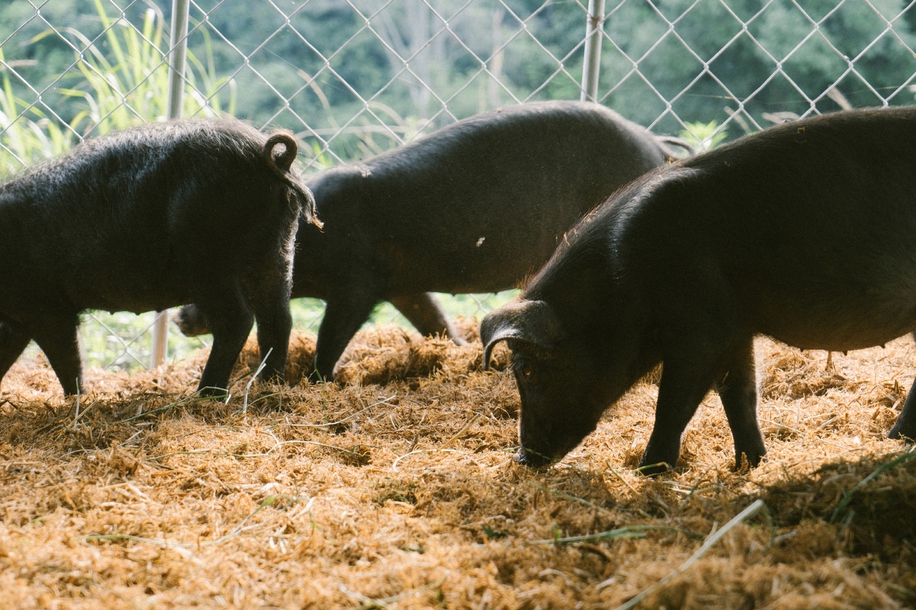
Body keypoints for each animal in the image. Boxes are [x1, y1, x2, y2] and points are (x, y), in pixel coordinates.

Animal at [0, 119, 318, 394]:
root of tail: (270, 158)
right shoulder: (19, 316)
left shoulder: (48, 308)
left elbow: (68, 362)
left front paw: (78, 400)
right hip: (277, 251)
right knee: (277, 319)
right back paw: (270, 386)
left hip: (207, 258)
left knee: (237, 320)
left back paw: (205, 394)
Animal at [177, 100, 680, 378]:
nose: (182, 316)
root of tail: (658, 146)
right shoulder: (403, 286)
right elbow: (433, 319)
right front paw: (456, 349)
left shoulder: (358, 285)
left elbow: (332, 335)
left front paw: (320, 379)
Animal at [484, 107, 916, 472]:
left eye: (527, 368)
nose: (521, 458)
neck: (622, 279)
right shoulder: (736, 329)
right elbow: (739, 394)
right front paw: (751, 465)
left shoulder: (702, 329)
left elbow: (674, 404)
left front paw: (647, 472)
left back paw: (893, 443)